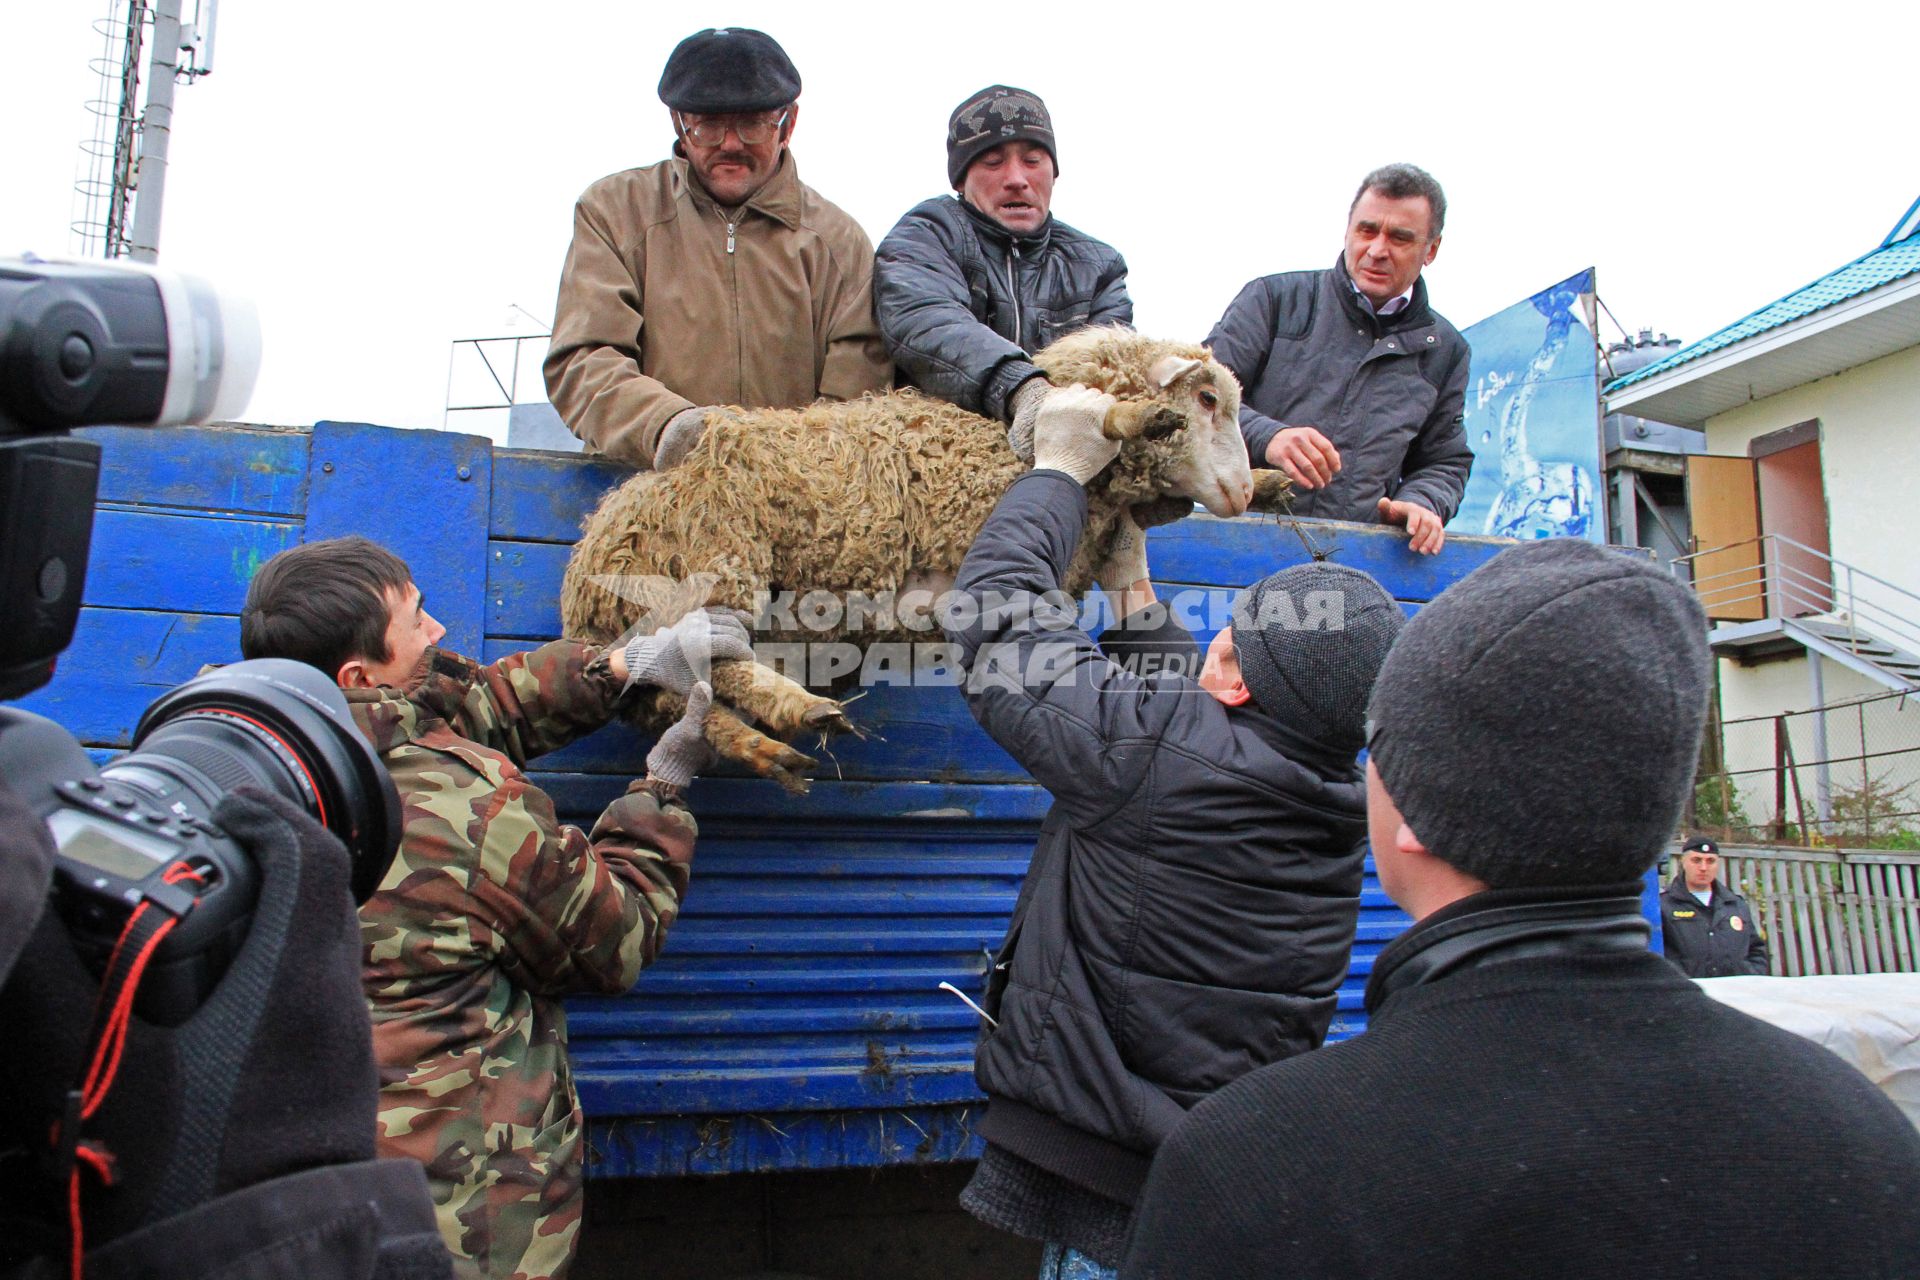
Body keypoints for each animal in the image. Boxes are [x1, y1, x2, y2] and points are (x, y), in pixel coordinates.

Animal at [556, 328, 1282, 790]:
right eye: (1208, 400)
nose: (1241, 493)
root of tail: (592, 555)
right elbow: (1104, 422)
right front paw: (1141, 418)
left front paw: (1275, 480)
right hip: (721, 556)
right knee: (713, 661)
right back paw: (801, 711)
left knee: (681, 700)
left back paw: (768, 744)